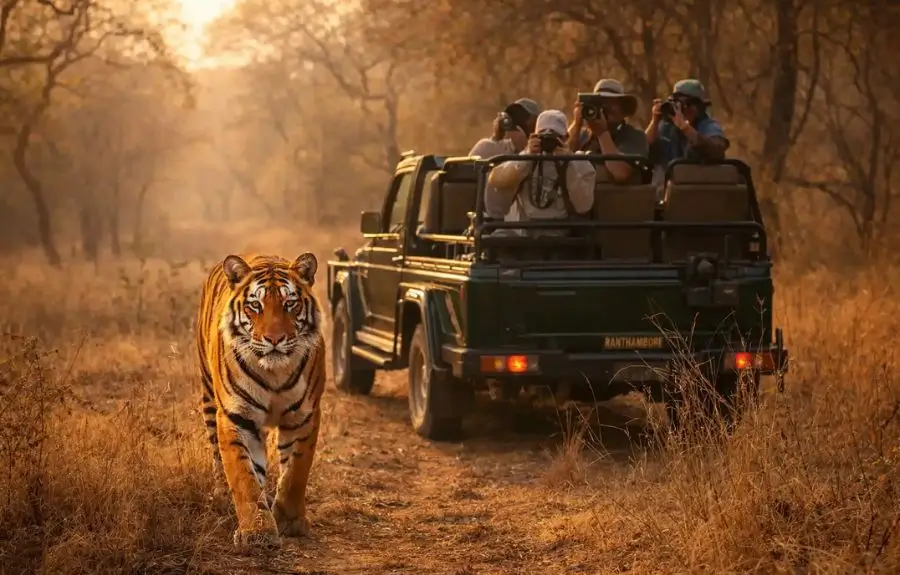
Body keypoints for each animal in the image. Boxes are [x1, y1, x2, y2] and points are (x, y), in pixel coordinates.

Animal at [195, 251, 325, 549]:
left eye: (290, 304)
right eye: (255, 305)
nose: (274, 339)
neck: (274, 374)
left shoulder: (304, 416)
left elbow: (295, 473)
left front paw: (289, 522)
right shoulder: (235, 416)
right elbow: (244, 477)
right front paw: (257, 532)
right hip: (208, 396)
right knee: (217, 456)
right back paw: (221, 494)